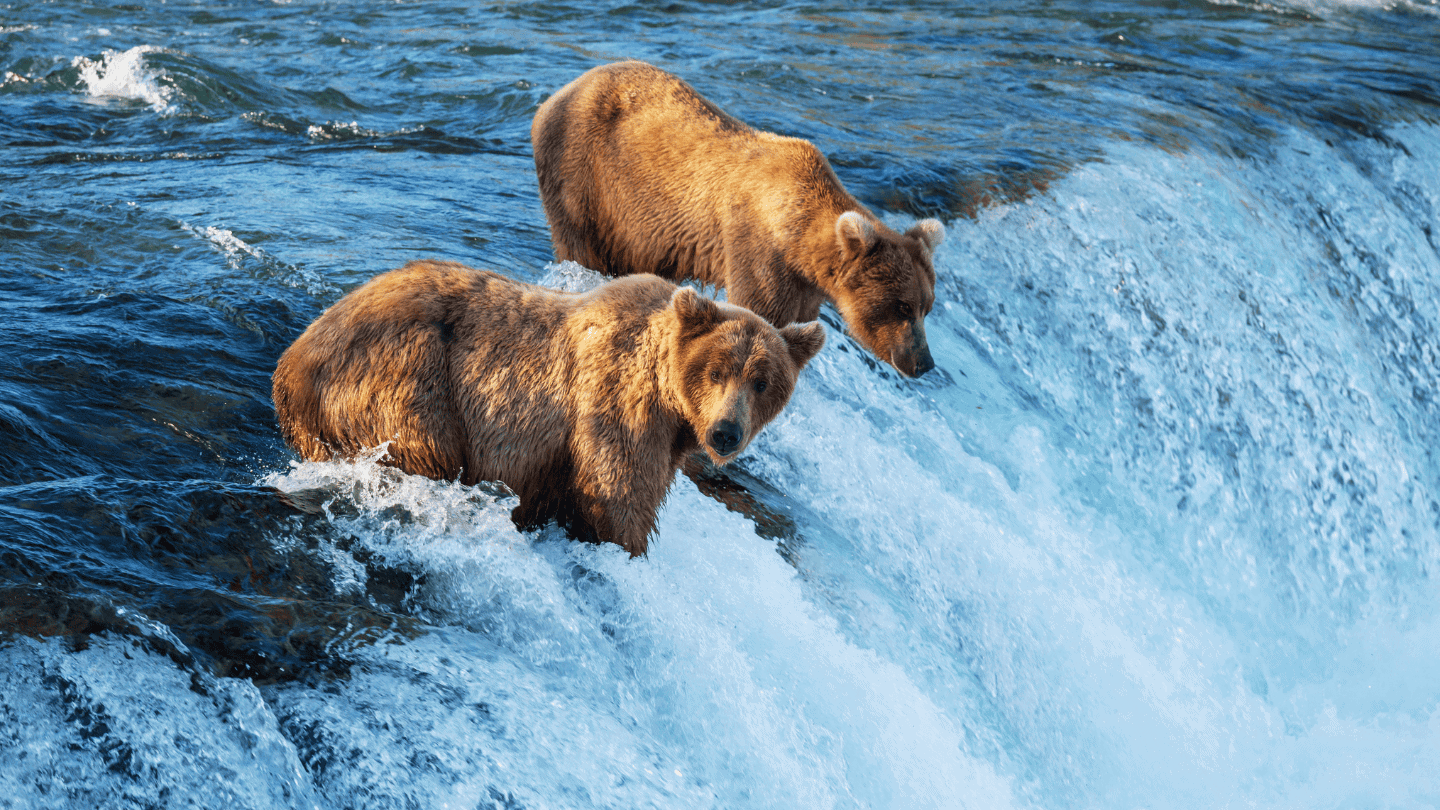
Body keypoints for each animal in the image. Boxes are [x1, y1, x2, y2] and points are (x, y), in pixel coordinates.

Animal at [271, 260, 824, 557]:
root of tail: (291, 363)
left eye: (763, 381)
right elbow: (617, 498)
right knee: (425, 447)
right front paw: (628, 548)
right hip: (406, 377)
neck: (672, 405)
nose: (726, 432)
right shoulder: (616, 408)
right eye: (716, 371)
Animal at [531, 60, 946, 378]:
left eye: (927, 306)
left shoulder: (804, 283)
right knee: (581, 246)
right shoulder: (758, 249)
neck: (797, 236)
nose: (924, 362)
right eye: (902, 306)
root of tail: (556, 95)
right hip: (585, 177)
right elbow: (760, 310)